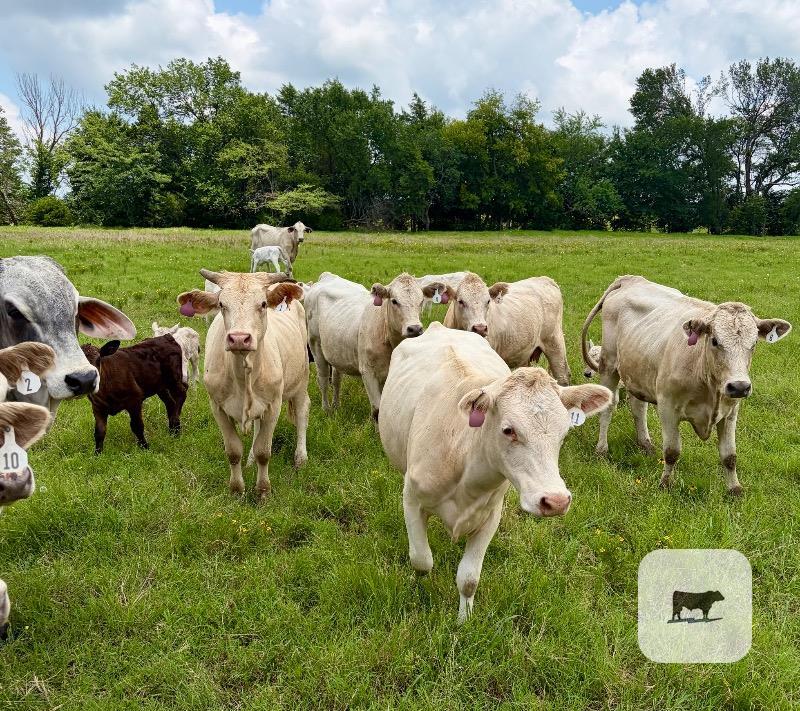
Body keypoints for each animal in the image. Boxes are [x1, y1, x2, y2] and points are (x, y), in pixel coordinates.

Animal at [177, 271, 309, 502]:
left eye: (263, 304)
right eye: (221, 304)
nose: (239, 338)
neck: (242, 376)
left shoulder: (274, 405)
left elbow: (264, 451)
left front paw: (263, 490)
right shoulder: (217, 407)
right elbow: (233, 451)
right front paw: (237, 489)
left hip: (302, 379)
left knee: (302, 412)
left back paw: (300, 458)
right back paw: (250, 460)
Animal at [305, 272, 447, 419]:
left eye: (421, 301)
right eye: (394, 301)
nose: (415, 328)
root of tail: (327, 276)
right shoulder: (368, 372)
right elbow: (377, 409)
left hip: (336, 352)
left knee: (336, 379)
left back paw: (336, 405)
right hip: (315, 345)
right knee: (323, 379)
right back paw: (326, 409)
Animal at [379, 322, 613, 621]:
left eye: (564, 432)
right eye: (508, 430)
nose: (556, 501)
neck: (462, 455)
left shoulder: (491, 515)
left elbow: (468, 578)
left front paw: (464, 621)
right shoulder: (412, 498)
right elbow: (421, 560)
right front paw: (420, 592)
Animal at [441, 272, 571, 386]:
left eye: (488, 301)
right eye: (461, 301)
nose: (480, 328)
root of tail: (545, 279)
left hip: (555, 344)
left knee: (563, 375)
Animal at [581, 275, 791, 494]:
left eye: (754, 344)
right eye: (714, 341)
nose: (740, 386)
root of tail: (630, 278)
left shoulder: (731, 412)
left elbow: (730, 456)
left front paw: (735, 489)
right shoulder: (667, 408)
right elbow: (672, 452)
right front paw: (665, 484)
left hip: (638, 371)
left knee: (638, 407)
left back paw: (645, 444)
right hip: (609, 364)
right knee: (608, 409)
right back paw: (601, 449)